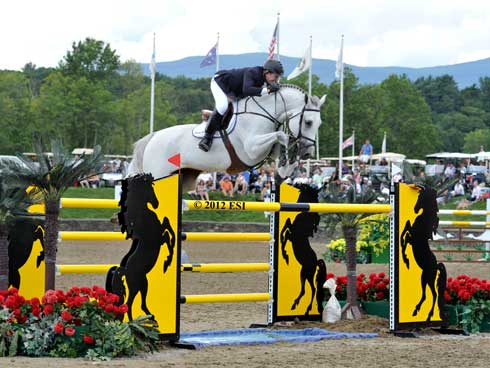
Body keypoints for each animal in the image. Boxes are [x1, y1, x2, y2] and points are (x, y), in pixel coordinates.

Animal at [129, 85, 326, 191]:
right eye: (308, 122)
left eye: (319, 124)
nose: (308, 153)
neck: (265, 112)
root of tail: (152, 138)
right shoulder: (251, 149)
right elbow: (282, 136)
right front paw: (285, 162)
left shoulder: (266, 149)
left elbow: (282, 146)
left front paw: (283, 171)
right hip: (158, 174)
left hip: (183, 178)